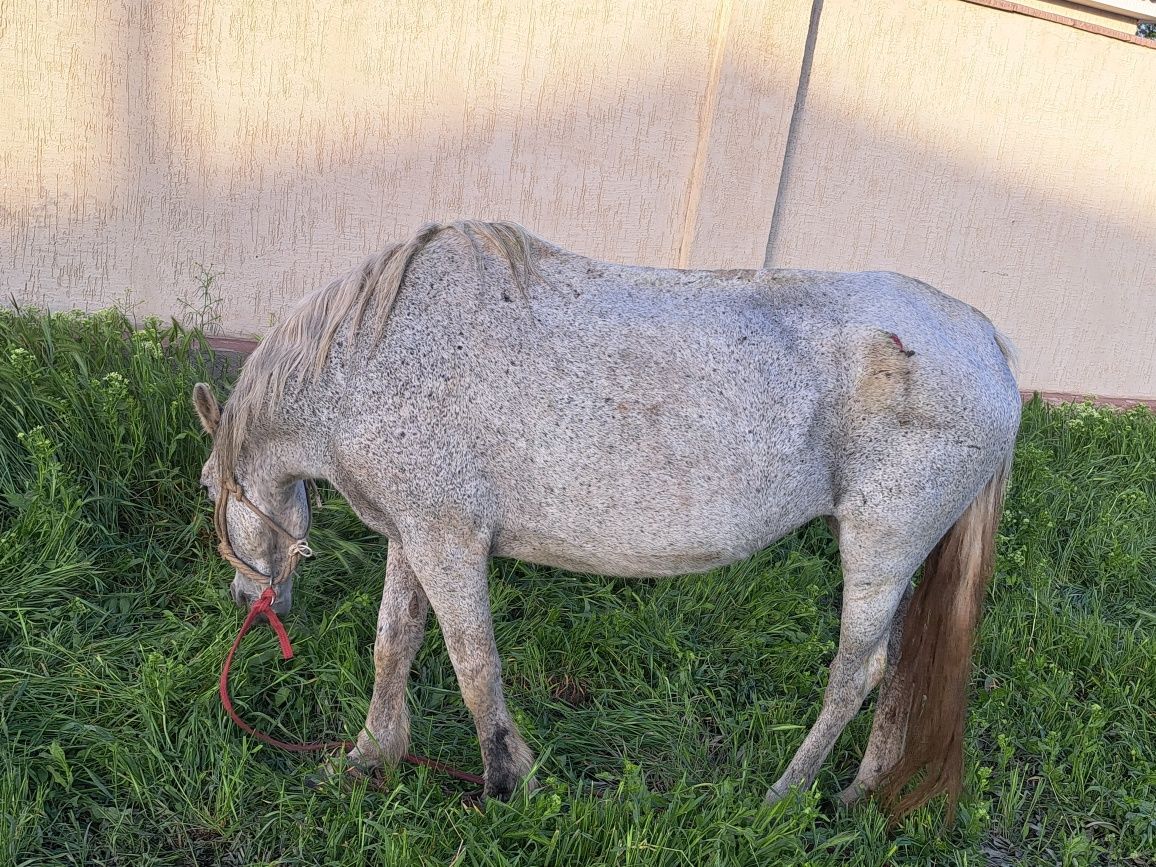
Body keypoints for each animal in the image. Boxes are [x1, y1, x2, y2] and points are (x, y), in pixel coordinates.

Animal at [194, 220, 1017, 823]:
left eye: (207, 485)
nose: (246, 600)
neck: (370, 357)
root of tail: (988, 339)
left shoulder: (447, 540)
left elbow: (473, 664)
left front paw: (509, 782)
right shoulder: (415, 536)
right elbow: (392, 646)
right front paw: (370, 757)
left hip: (879, 546)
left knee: (857, 674)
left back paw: (782, 795)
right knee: (899, 669)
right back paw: (858, 794)